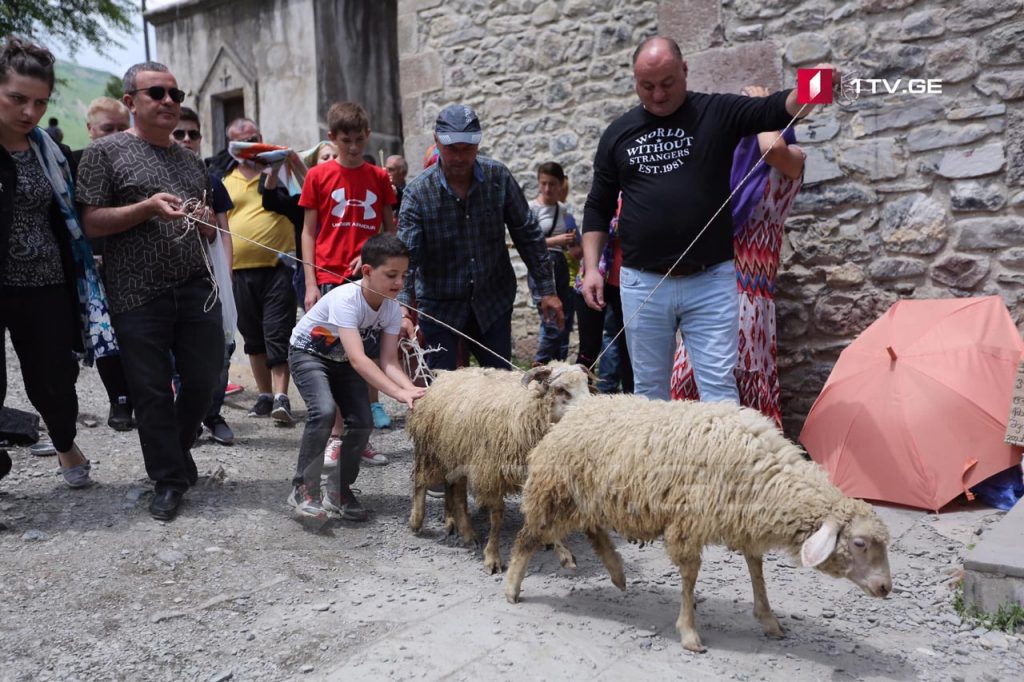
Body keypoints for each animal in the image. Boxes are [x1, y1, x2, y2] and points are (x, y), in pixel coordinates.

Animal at [403, 364, 589, 569]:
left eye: (587, 384)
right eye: (561, 389)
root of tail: (444, 375)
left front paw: (562, 550)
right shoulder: (491, 473)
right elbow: (497, 518)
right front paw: (492, 557)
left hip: (454, 452)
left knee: (454, 490)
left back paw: (457, 525)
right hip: (430, 450)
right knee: (422, 482)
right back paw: (419, 521)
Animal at [507, 395, 892, 651]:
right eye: (859, 543)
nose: (886, 587)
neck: (767, 477)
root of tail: (574, 411)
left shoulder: (744, 521)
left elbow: (756, 568)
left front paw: (768, 618)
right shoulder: (688, 523)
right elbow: (690, 578)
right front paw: (689, 632)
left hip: (591, 495)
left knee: (592, 528)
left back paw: (616, 572)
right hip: (555, 492)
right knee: (528, 536)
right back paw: (512, 586)